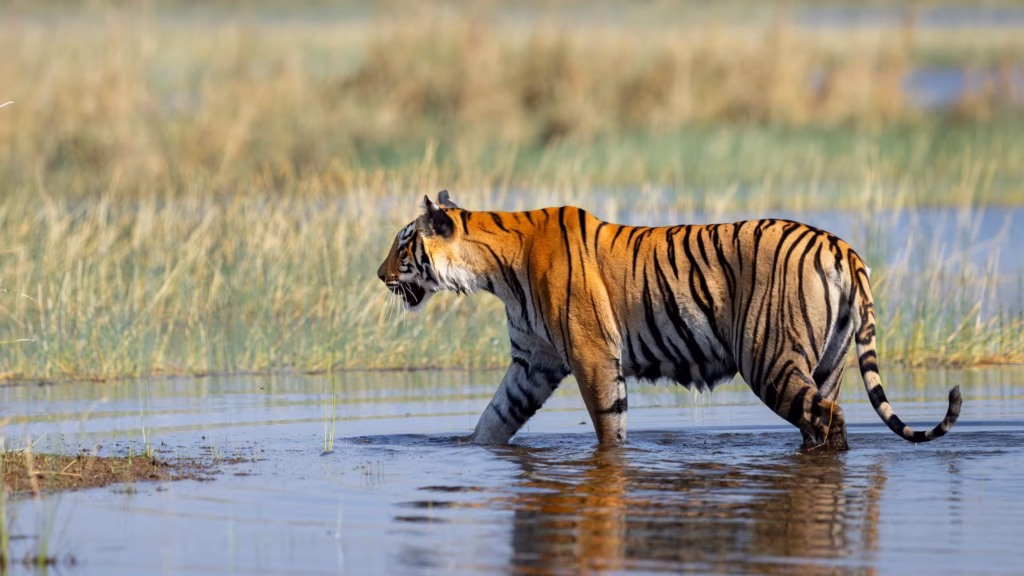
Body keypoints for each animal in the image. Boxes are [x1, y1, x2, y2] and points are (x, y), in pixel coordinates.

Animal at [377, 191, 962, 449]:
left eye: (403, 245)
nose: (379, 275)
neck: (495, 272)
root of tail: (843, 247)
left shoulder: (591, 355)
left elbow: (609, 427)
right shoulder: (531, 363)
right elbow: (493, 419)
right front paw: (469, 450)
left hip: (769, 358)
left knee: (826, 418)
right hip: (829, 363)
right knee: (822, 416)